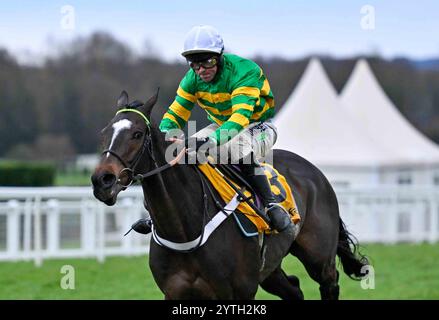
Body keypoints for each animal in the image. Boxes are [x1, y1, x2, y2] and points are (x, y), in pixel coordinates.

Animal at [92, 90, 368, 300]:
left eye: (137, 134)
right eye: (104, 133)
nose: (102, 180)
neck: (186, 228)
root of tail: (315, 172)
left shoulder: (239, 292)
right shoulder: (175, 292)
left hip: (319, 258)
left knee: (329, 283)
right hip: (269, 268)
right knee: (294, 289)